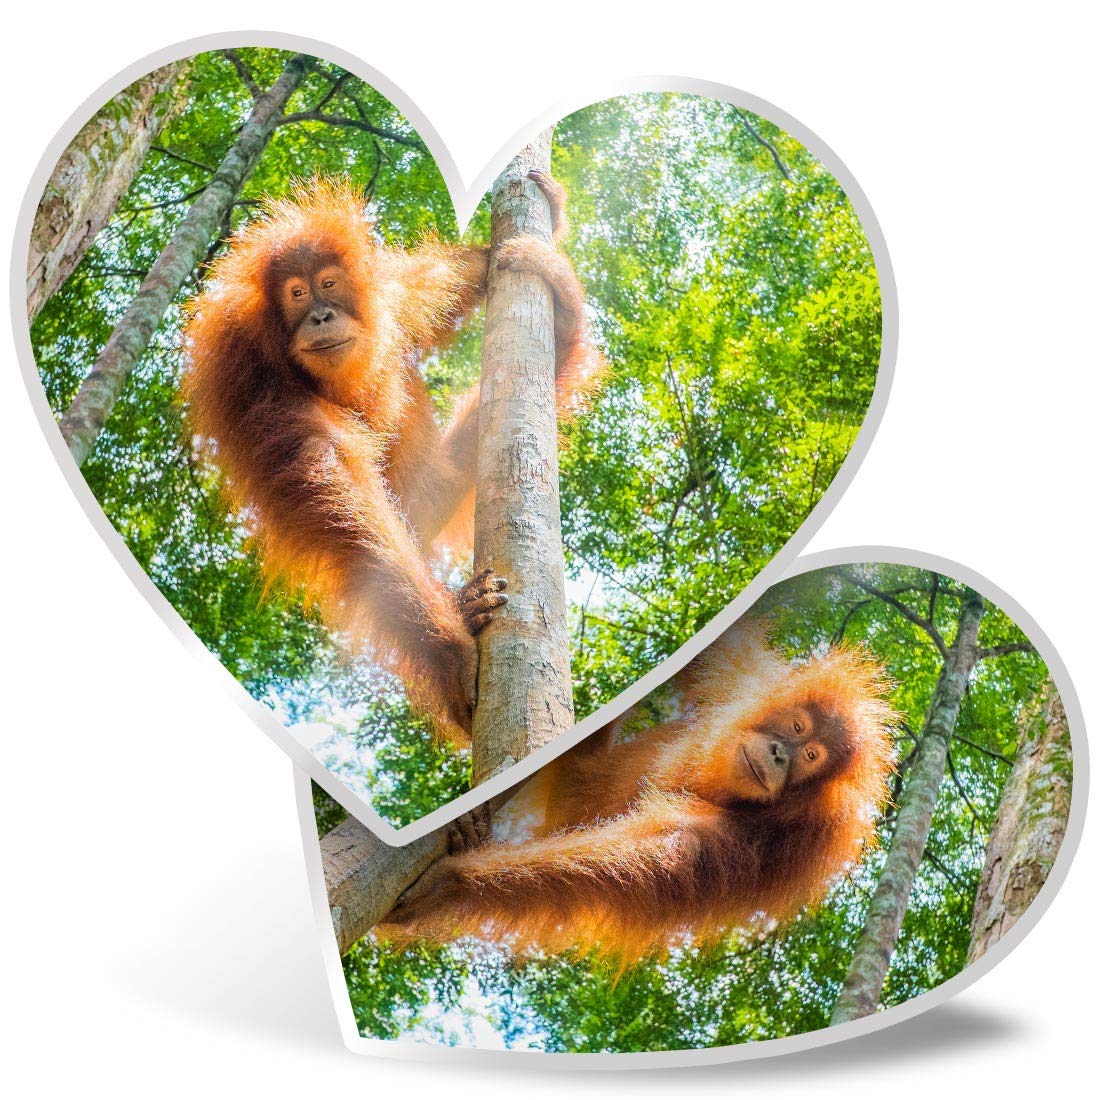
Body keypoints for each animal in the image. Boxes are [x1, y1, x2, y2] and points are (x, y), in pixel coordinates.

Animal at [180, 174, 604, 742]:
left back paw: (562, 324)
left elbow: (428, 286)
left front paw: (543, 222)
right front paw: (452, 655)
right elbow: (330, 472)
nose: (320, 315)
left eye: (329, 284)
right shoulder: (252, 370)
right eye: (296, 294)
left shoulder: (387, 301)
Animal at [381, 622, 897, 962]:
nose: (778, 755)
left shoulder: (798, 840)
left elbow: (670, 849)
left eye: (811, 757)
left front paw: (450, 883)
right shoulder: (752, 678)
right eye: (798, 727)